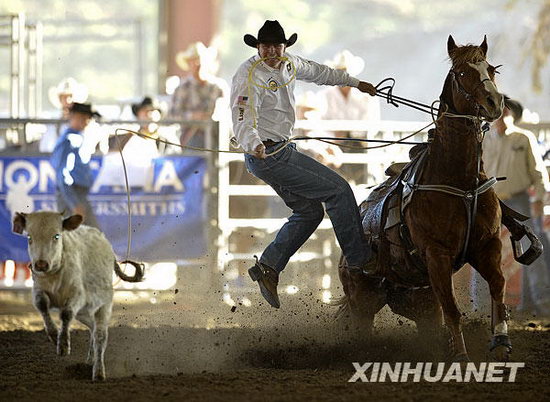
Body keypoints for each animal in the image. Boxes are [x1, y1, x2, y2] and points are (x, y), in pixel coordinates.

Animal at [12, 212, 144, 382]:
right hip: (83, 312)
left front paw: (63, 346)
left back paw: (98, 372)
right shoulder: (38, 290)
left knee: (100, 336)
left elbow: (66, 314)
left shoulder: (77, 295)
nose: (41, 264)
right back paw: (90, 360)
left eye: (56, 236)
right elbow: (42, 305)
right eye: (29, 237)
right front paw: (54, 335)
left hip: (103, 306)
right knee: (92, 328)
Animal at [340, 35, 512, 362]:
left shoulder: (487, 244)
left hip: (419, 301)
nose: (494, 103)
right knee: (362, 325)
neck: (459, 181)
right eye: (461, 72)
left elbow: (498, 285)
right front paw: (461, 357)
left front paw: (500, 342)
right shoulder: (436, 254)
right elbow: (454, 309)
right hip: (362, 297)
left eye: (492, 69)